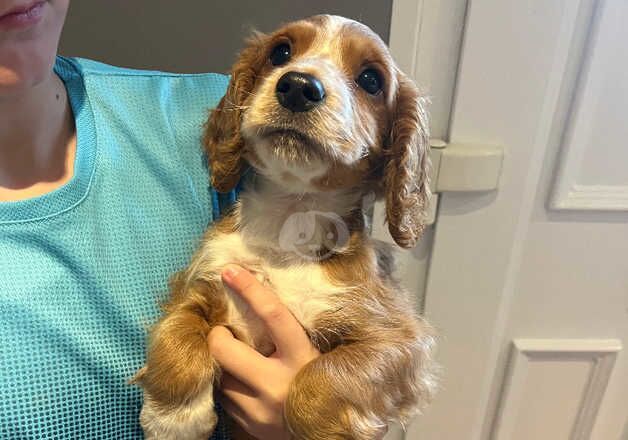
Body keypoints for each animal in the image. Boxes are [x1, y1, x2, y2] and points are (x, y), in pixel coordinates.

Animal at [134, 13, 436, 440]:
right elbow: (176, 329)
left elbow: (321, 381)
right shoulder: (198, 284)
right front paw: (174, 417)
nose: (298, 87)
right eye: (280, 52)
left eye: (371, 80)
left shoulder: (400, 340)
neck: (290, 220)